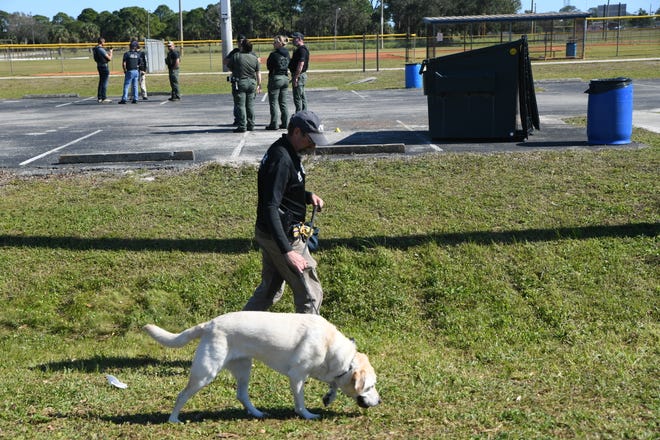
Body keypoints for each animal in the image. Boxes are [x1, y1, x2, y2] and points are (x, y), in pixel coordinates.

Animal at [144, 310, 382, 422]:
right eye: (370, 387)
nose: (380, 401)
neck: (329, 345)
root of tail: (210, 323)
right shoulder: (297, 375)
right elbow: (300, 402)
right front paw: (307, 415)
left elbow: (334, 382)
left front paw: (329, 395)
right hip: (205, 372)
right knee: (182, 395)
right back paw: (173, 419)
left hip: (244, 369)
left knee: (241, 395)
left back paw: (257, 413)